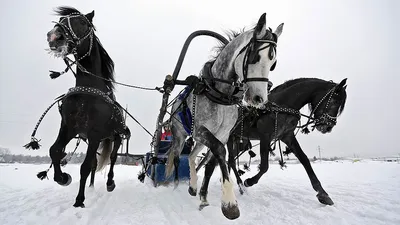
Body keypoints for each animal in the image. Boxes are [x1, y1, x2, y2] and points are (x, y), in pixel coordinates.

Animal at [45, 7, 130, 207]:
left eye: (83, 22)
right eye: (62, 19)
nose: (54, 37)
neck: (87, 93)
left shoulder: (94, 134)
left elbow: (84, 167)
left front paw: (79, 200)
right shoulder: (68, 128)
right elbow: (55, 151)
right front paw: (63, 178)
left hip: (116, 137)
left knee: (113, 157)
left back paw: (110, 182)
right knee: (94, 163)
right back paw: (91, 186)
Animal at [200, 77, 346, 206]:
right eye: (334, 100)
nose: (328, 127)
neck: (281, 105)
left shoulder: (287, 136)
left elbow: (304, 160)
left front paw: (323, 194)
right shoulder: (265, 136)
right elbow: (264, 166)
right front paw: (249, 181)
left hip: (240, 143)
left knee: (228, 161)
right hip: (230, 138)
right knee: (227, 160)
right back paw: (241, 185)